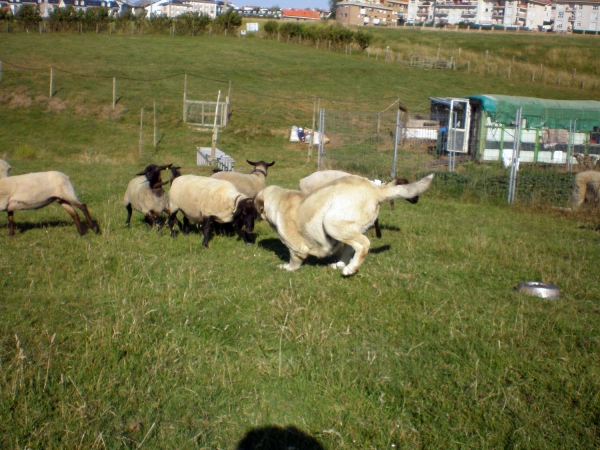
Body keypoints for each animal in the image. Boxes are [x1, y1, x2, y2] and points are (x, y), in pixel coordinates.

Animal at [255, 174, 434, 276]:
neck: (279, 200)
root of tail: (376, 190)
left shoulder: (296, 249)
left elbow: (293, 262)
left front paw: (286, 268)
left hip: (331, 223)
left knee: (363, 245)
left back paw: (350, 269)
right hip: (346, 228)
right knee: (350, 248)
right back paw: (341, 264)